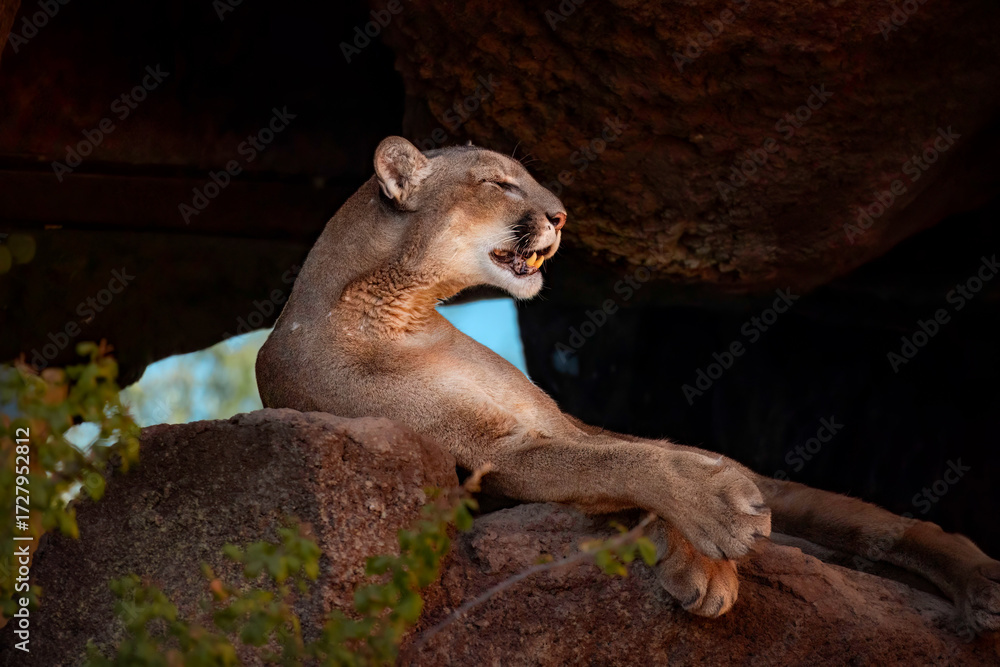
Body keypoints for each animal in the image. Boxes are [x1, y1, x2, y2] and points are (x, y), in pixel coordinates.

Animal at [256, 136, 1000, 631]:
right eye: (501, 184)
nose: (560, 216)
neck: (404, 305)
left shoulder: (560, 423)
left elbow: (627, 452)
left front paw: (706, 541)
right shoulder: (494, 453)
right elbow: (621, 465)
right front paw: (709, 544)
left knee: (878, 521)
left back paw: (981, 582)